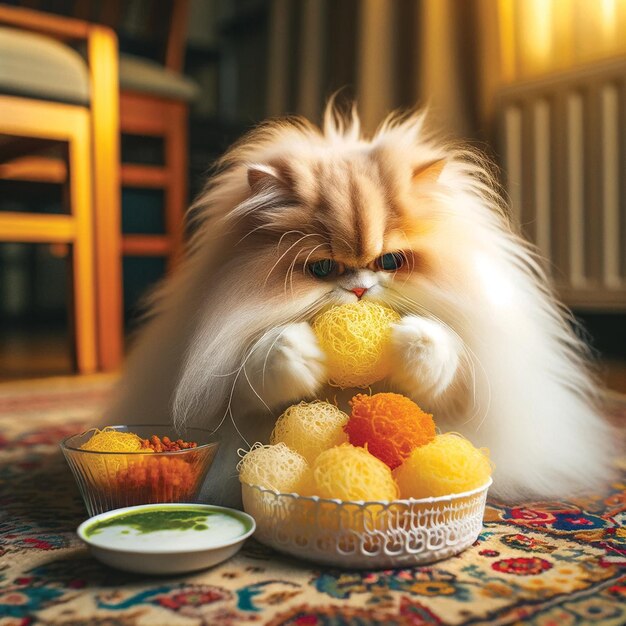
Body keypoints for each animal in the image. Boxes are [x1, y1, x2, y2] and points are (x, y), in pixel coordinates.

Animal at [106, 105, 608, 508]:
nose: (361, 291)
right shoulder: (226, 379)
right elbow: (262, 364)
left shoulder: (467, 381)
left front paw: (411, 340)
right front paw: (301, 353)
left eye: (389, 262)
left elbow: (442, 353)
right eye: (324, 268)